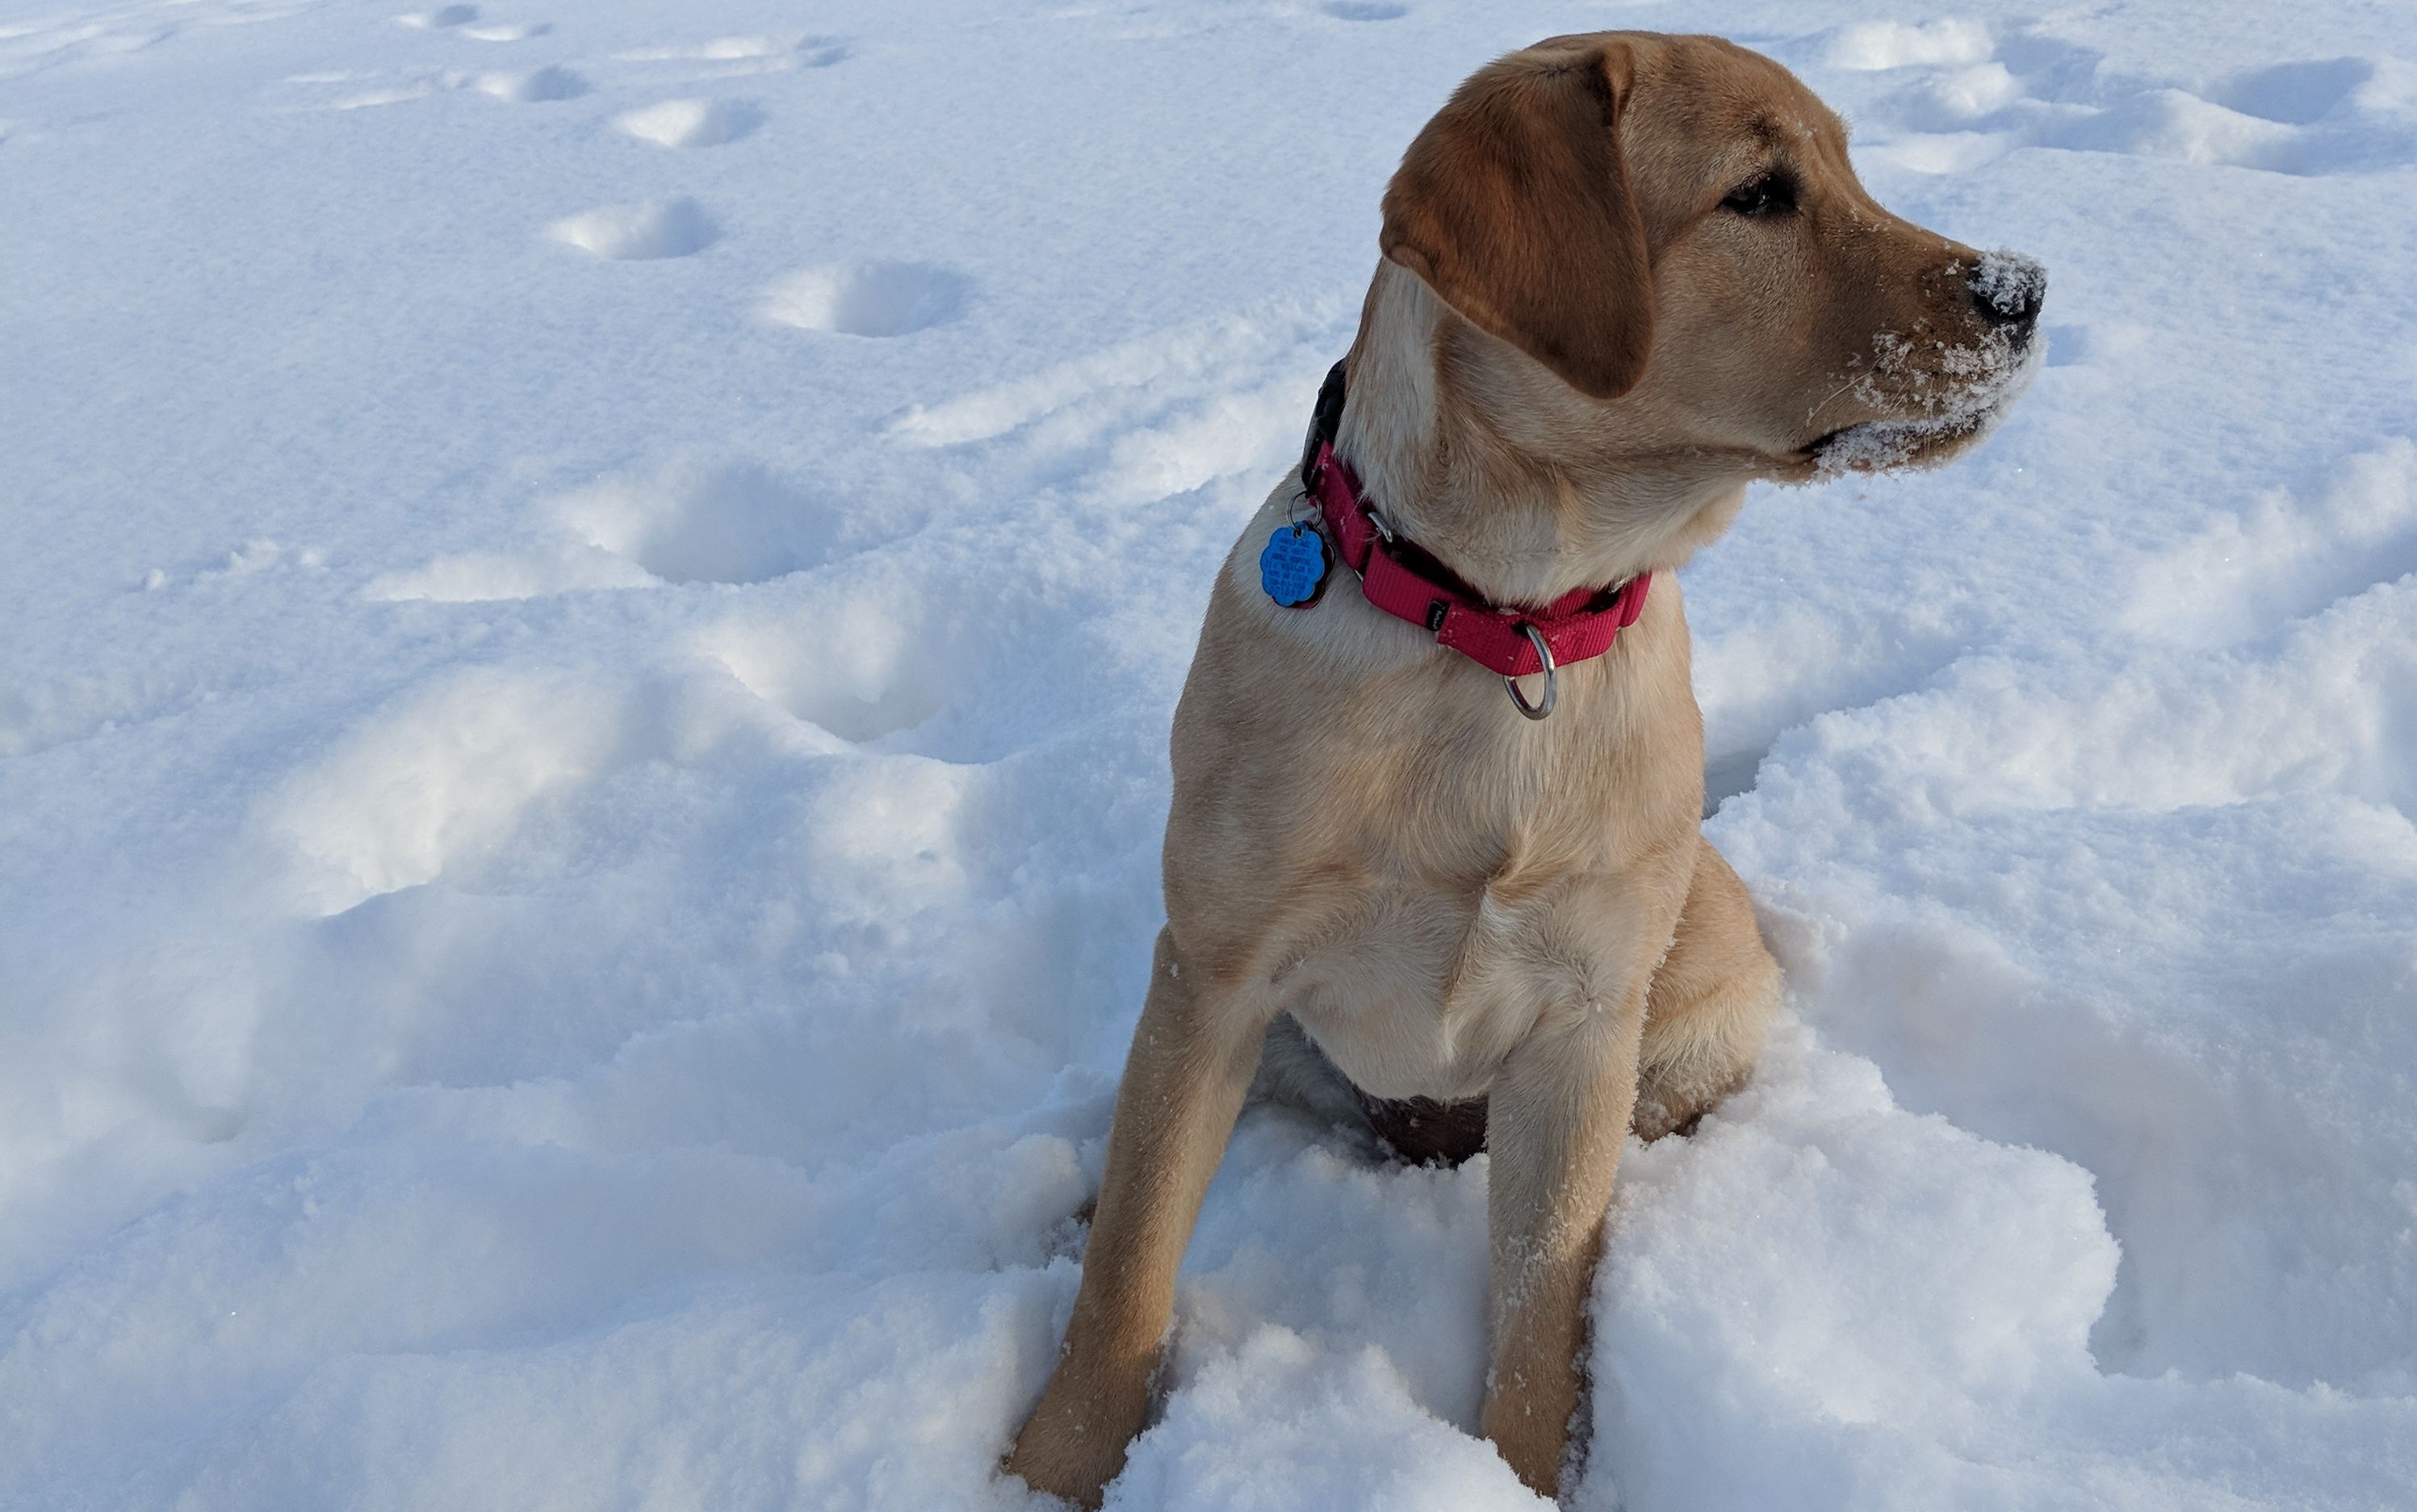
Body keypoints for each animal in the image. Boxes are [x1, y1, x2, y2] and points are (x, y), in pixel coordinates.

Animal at [1000, 26, 2039, 1497]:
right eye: (1759, 195)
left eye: (1848, 166)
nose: (2023, 290)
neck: (1506, 622)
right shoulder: (1211, 976)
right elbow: (1128, 1269)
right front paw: (1050, 1463)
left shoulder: (1578, 1033)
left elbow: (1545, 1304)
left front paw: (1522, 1474)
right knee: (1136, 1162)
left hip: (1689, 1023)